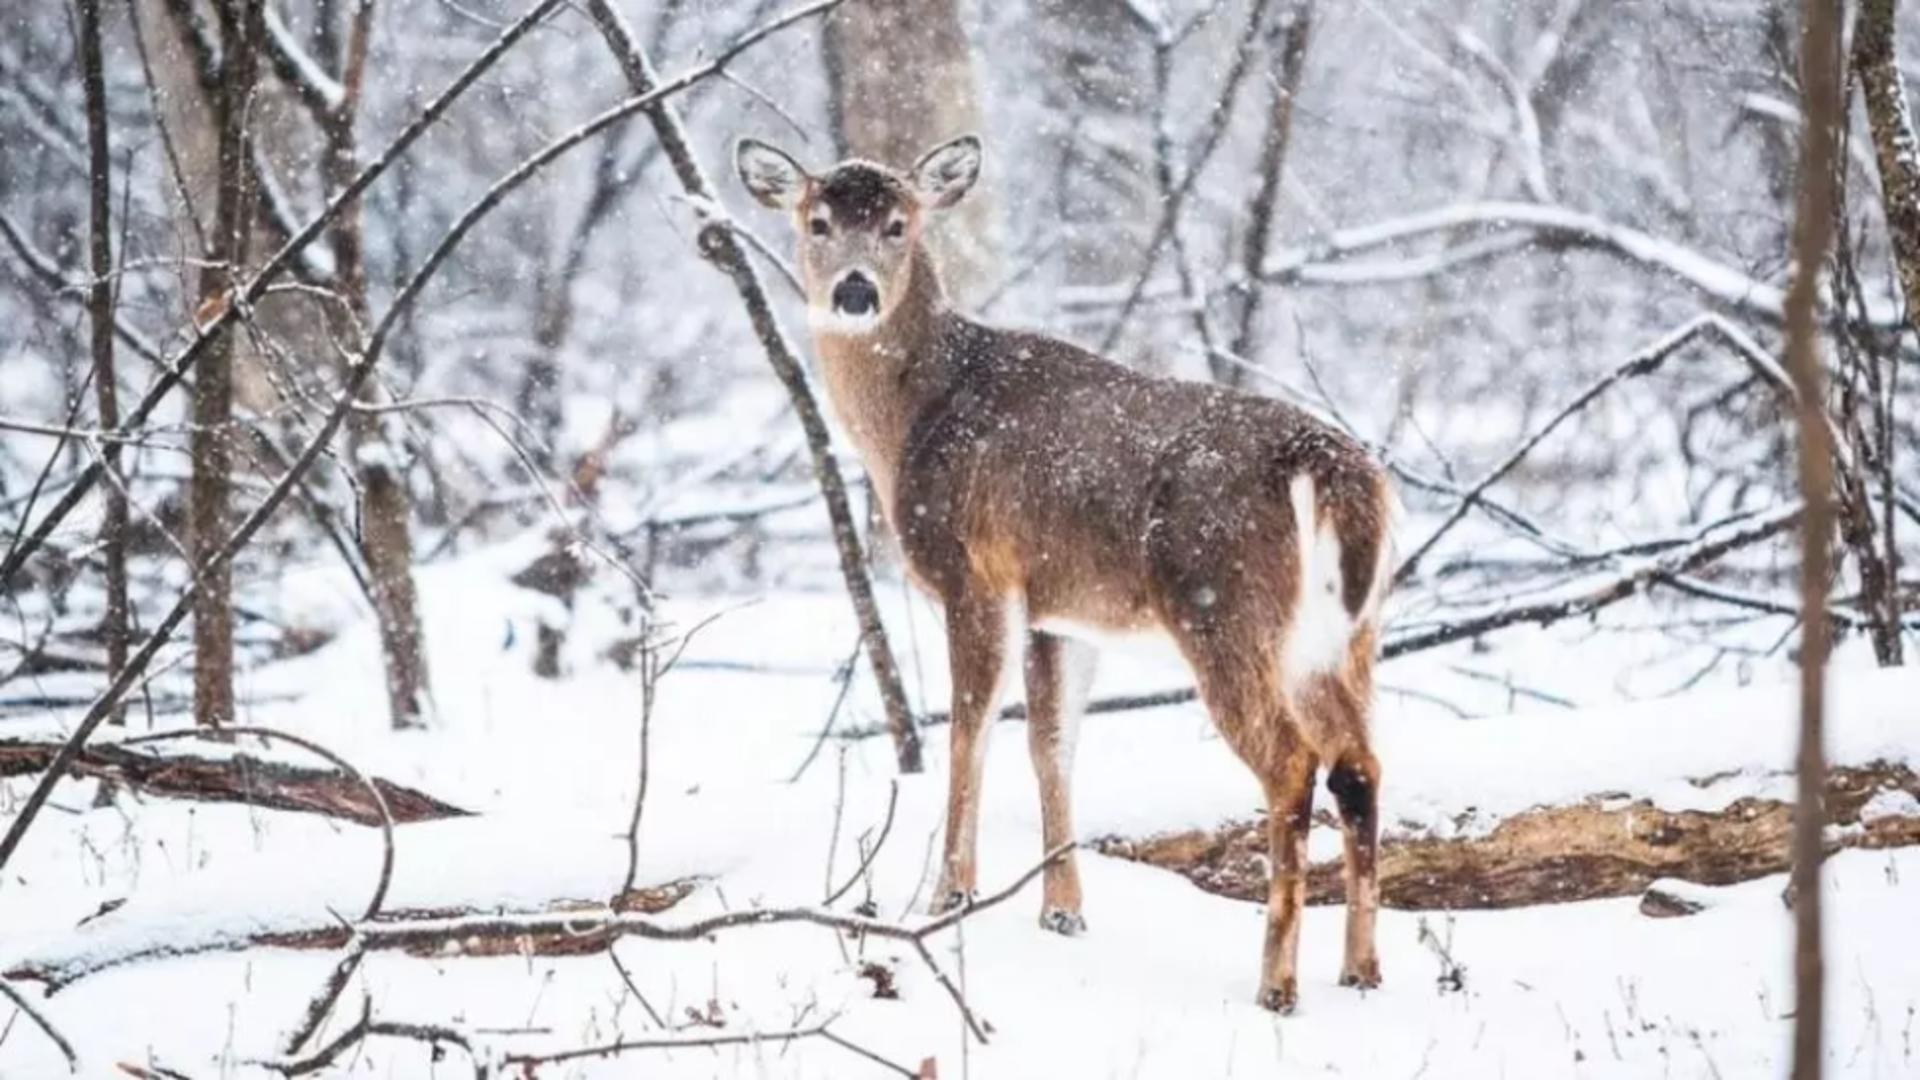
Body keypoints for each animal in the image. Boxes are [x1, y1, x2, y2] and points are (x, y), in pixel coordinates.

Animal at [737, 132, 1397, 1006]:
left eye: (897, 224)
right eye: (818, 222)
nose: (853, 291)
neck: (914, 419)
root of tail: (1328, 468)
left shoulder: (975, 573)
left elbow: (970, 731)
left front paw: (950, 895)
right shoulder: (1062, 609)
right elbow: (1052, 743)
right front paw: (1063, 911)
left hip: (1223, 606)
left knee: (1293, 764)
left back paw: (1276, 986)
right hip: (1345, 635)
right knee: (1358, 764)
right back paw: (1361, 970)